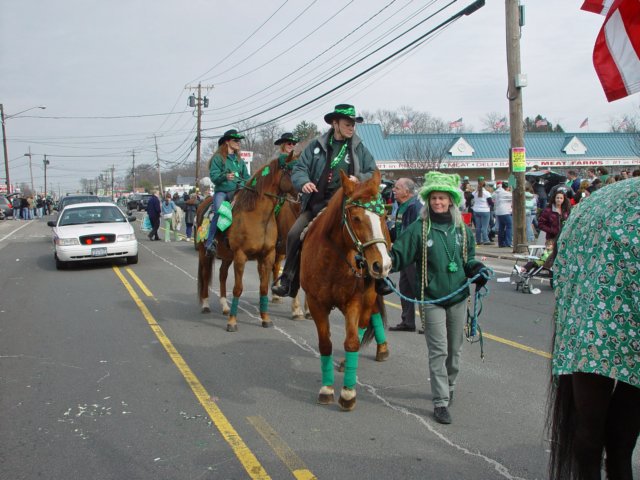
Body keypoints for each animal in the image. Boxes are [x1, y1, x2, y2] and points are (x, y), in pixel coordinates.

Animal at [195, 153, 298, 330]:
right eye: (293, 170)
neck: (258, 217)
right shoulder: (241, 256)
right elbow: (238, 288)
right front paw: (232, 322)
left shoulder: (267, 256)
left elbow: (263, 288)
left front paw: (265, 318)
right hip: (205, 253)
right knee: (205, 274)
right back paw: (206, 305)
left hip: (227, 256)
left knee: (222, 275)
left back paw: (225, 306)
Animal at [300, 169, 390, 408]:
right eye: (356, 218)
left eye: (383, 216)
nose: (382, 265)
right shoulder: (316, 303)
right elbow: (325, 345)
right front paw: (327, 389)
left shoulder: (354, 302)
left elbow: (351, 342)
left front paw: (348, 393)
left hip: (369, 296)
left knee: (367, 320)